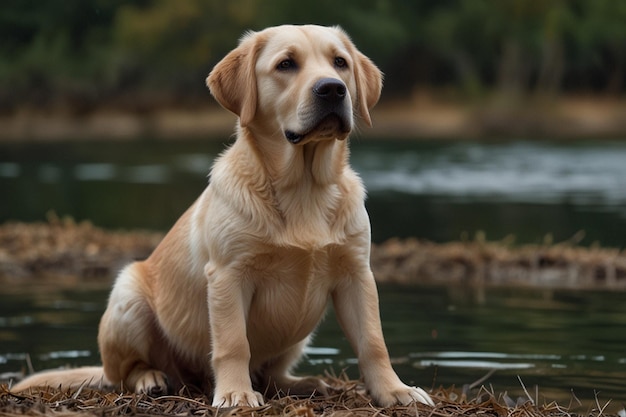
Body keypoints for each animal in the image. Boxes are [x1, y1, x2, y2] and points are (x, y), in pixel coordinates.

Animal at [11, 25, 428, 406]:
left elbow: (373, 341)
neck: (304, 188)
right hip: (127, 299)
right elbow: (233, 342)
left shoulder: (357, 273)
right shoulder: (229, 275)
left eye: (340, 63)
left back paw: (304, 383)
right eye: (286, 64)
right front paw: (235, 394)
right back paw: (151, 379)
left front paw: (395, 391)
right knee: (124, 373)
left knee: (272, 373)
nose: (332, 89)